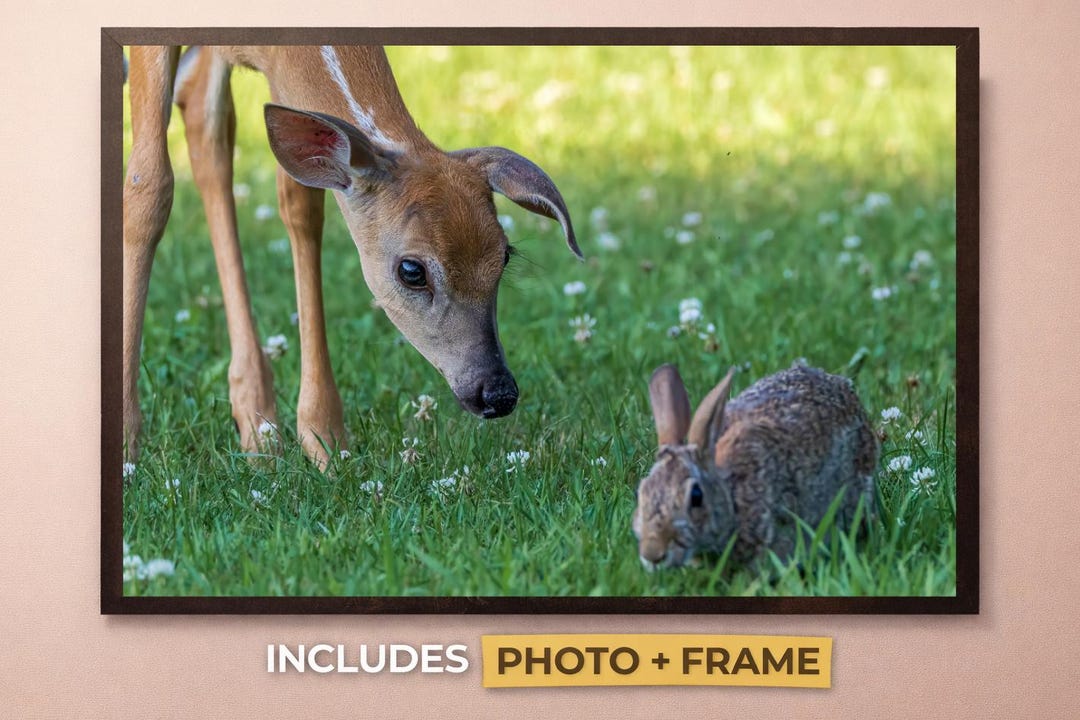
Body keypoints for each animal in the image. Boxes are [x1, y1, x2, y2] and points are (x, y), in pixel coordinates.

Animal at [123, 45, 580, 468]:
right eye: (412, 270)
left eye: (504, 257)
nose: (497, 391)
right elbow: (149, 186)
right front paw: (128, 445)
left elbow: (301, 203)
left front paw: (323, 437)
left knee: (204, 115)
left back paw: (258, 427)